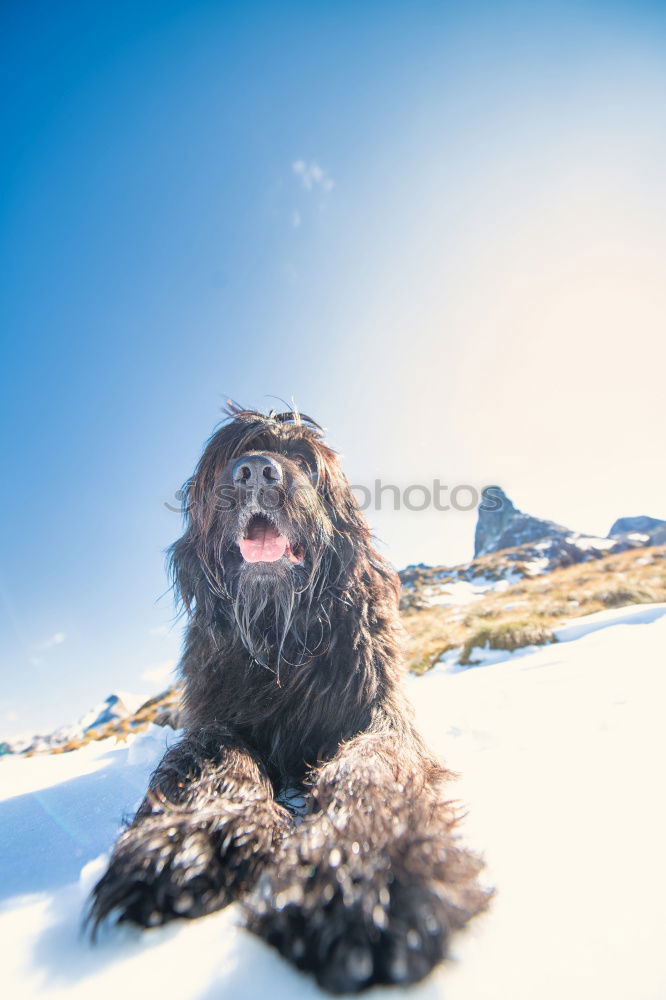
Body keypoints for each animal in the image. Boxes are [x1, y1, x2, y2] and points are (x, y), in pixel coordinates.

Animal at [89, 406, 488, 992]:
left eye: (301, 455)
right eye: (232, 454)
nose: (256, 471)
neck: (282, 639)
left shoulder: (380, 713)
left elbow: (370, 768)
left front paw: (364, 871)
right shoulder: (216, 716)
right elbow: (214, 759)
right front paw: (194, 840)